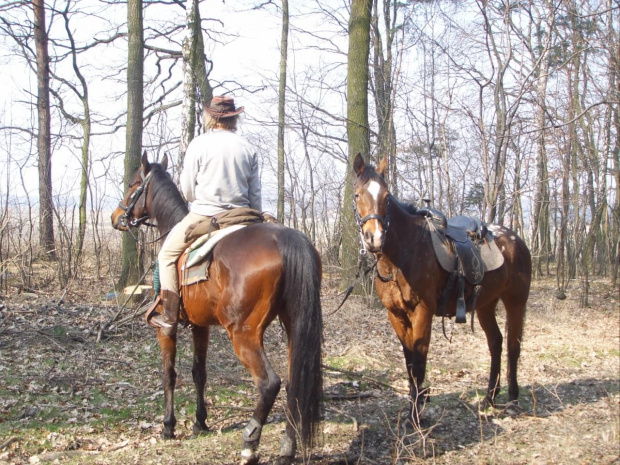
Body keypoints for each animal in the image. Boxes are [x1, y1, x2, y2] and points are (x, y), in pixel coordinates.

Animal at [111, 153, 322, 464]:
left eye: (133, 184)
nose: (117, 217)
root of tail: (285, 239)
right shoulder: (201, 326)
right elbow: (199, 372)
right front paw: (200, 422)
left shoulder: (166, 328)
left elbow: (169, 374)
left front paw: (168, 426)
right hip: (294, 326)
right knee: (295, 381)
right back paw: (287, 446)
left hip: (243, 333)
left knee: (269, 383)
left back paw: (250, 442)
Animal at [352, 154, 532, 422]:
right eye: (357, 195)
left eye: (386, 196)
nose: (375, 238)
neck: (402, 256)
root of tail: (516, 240)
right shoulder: (396, 315)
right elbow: (409, 362)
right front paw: (414, 408)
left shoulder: (423, 312)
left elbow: (419, 362)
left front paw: (416, 417)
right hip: (486, 305)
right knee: (496, 343)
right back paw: (489, 398)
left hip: (515, 302)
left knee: (513, 345)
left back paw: (512, 400)